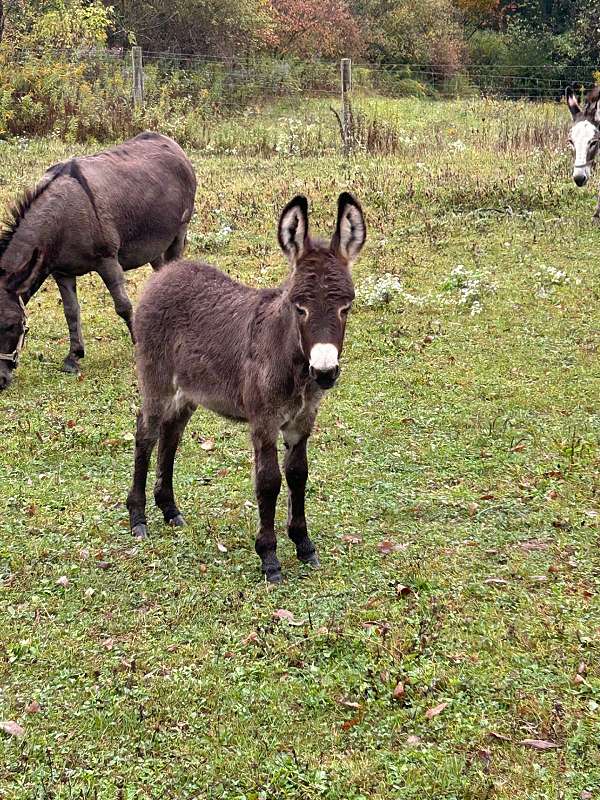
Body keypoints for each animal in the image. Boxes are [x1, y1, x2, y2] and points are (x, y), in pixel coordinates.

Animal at [126, 194, 366, 580]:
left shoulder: (303, 421)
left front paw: (304, 545)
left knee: (171, 433)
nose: (325, 372)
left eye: (347, 307)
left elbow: (298, 475)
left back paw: (170, 509)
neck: (292, 362)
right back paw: (138, 517)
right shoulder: (263, 421)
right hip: (156, 377)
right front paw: (269, 557)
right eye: (299, 307)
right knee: (146, 432)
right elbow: (268, 481)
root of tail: (167, 272)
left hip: (189, 391)